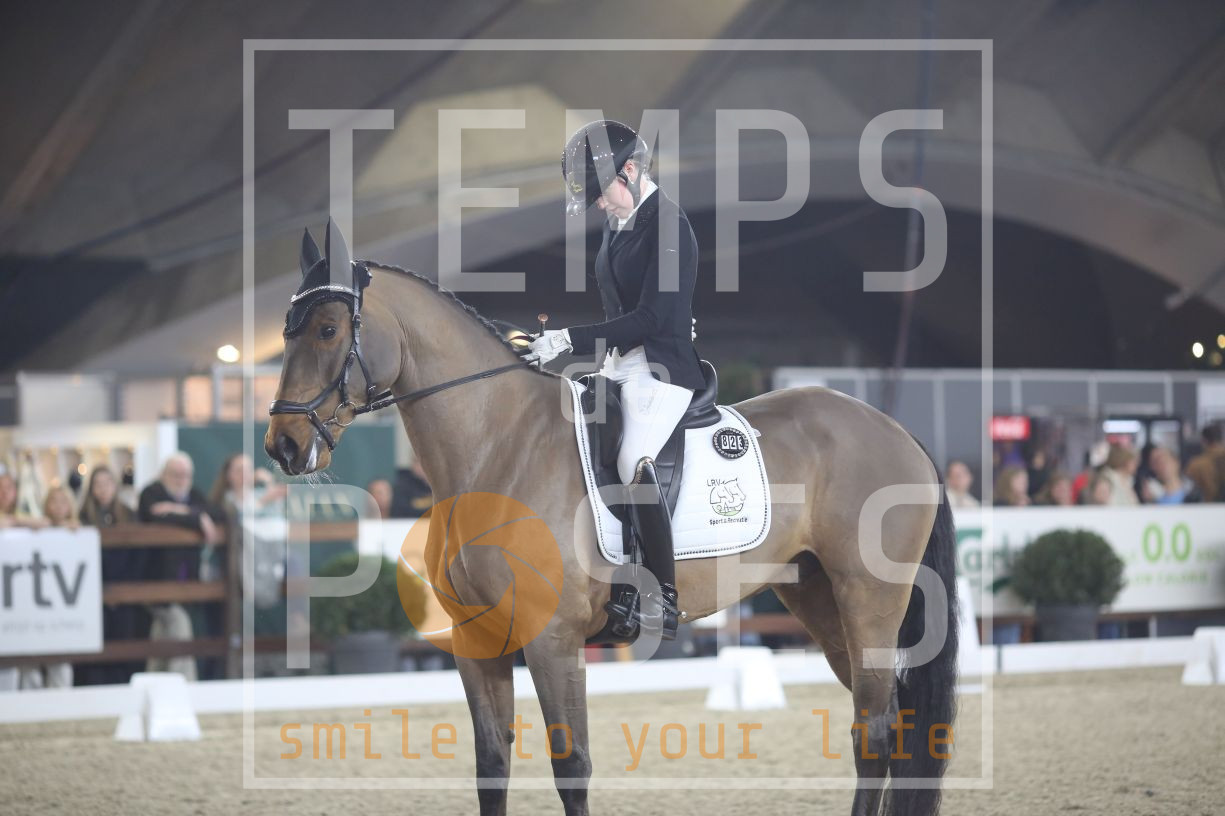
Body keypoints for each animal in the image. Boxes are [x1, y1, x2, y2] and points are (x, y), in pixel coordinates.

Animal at [265, 224, 958, 816]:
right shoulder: (476, 641)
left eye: (327, 329)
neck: (497, 444)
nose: (283, 446)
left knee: (874, 732)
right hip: (818, 598)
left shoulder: (553, 641)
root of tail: (896, 431)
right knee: (886, 725)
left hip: (870, 600)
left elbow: (571, 766)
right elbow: (492, 764)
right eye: (287, 330)